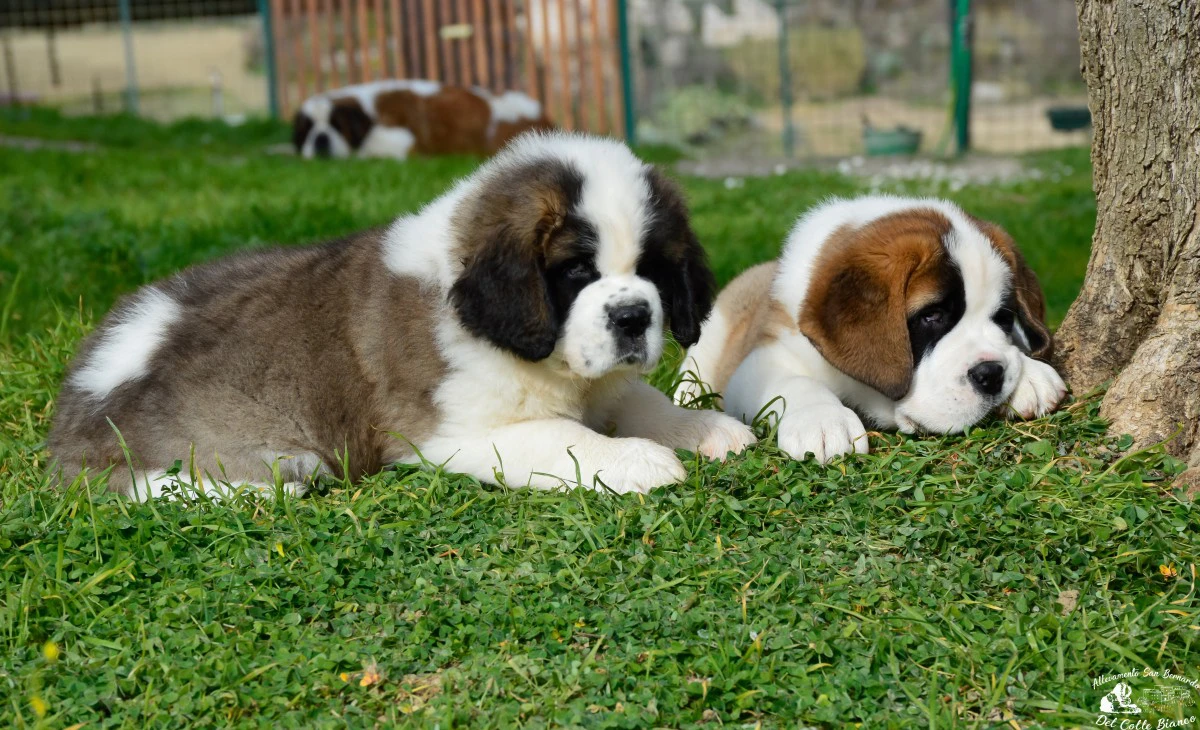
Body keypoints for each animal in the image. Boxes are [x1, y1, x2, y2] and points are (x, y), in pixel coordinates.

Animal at [54, 130, 758, 499]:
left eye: (653, 269)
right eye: (576, 272)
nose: (635, 317)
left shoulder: (605, 382)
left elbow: (638, 398)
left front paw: (704, 428)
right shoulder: (451, 433)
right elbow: (564, 437)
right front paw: (639, 460)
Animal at [676, 195, 1070, 461]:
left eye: (1003, 317)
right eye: (932, 316)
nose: (991, 374)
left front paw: (1030, 374)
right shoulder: (763, 357)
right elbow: (794, 382)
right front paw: (823, 419)